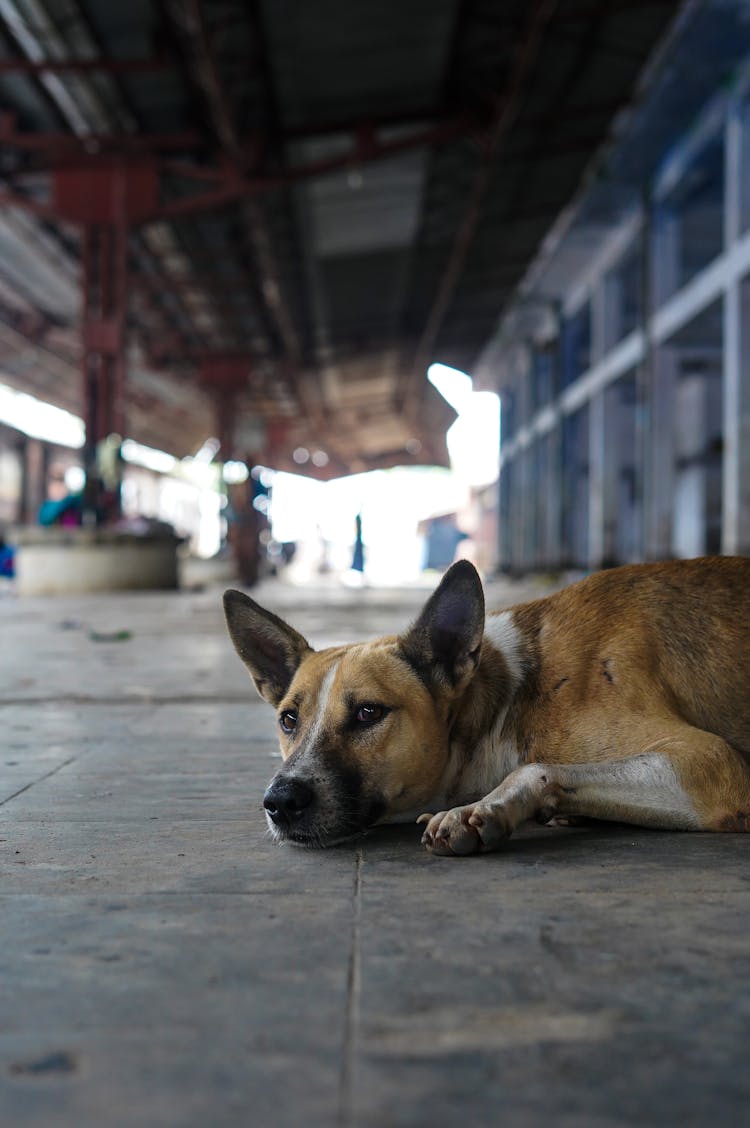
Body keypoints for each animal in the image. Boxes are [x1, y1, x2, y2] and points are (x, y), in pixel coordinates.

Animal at [221, 554, 748, 852]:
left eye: (369, 713)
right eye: (289, 719)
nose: (279, 802)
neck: (507, 698)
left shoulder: (710, 765)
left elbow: (534, 768)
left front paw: (484, 809)